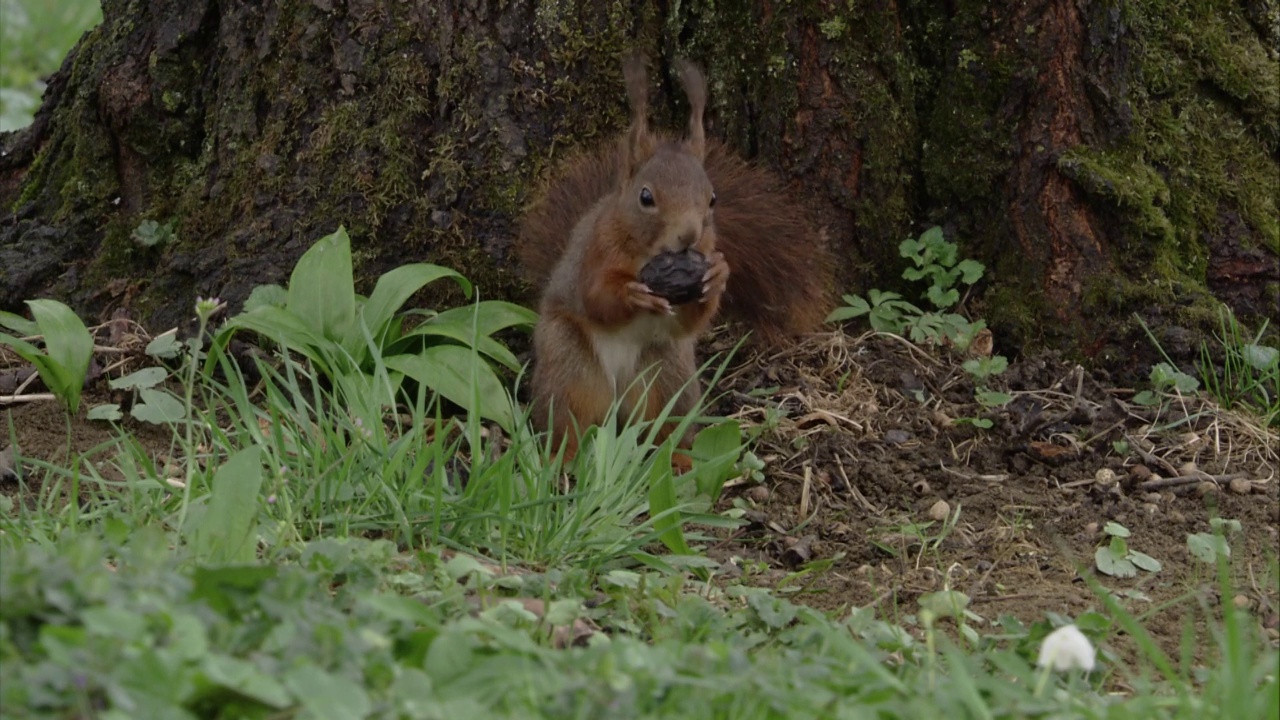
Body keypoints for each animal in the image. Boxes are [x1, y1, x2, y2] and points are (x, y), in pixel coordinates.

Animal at [514, 53, 834, 461]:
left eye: (712, 199)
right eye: (646, 197)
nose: (690, 235)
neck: (648, 252)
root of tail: (617, 397)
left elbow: (691, 321)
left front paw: (718, 275)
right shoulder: (594, 253)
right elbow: (596, 298)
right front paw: (632, 294)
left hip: (668, 374)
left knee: (665, 427)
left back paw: (678, 459)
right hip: (568, 365)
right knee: (569, 420)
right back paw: (564, 457)